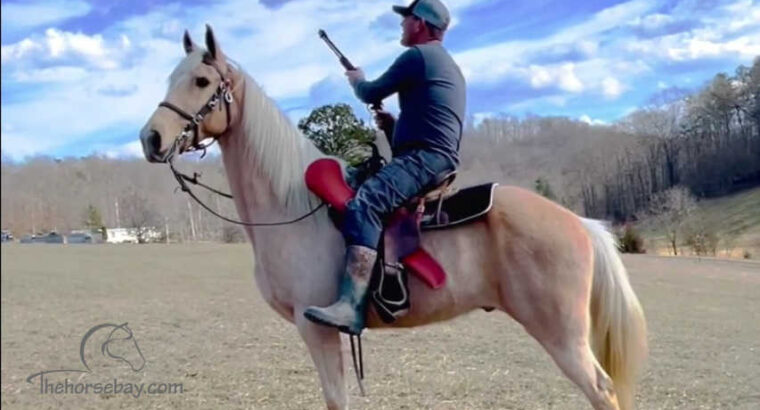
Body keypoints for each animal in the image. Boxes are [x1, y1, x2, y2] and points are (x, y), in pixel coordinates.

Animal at [138, 27, 648, 408]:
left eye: (202, 82)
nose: (151, 139)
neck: (292, 206)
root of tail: (579, 223)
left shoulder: (315, 328)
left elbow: (336, 399)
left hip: (563, 336)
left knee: (602, 391)